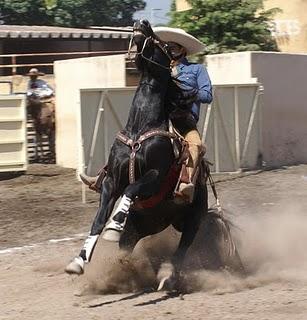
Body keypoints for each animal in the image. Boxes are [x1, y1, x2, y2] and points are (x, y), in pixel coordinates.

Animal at [65, 20, 243, 290]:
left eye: (165, 46)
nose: (142, 23)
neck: (140, 128)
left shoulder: (155, 176)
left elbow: (131, 189)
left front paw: (115, 223)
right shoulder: (111, 181)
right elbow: (98, 220)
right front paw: (78, 262)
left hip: (193, 218)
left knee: (183, 247)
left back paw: (167, 275)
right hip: (140, 228)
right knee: (129, 245)